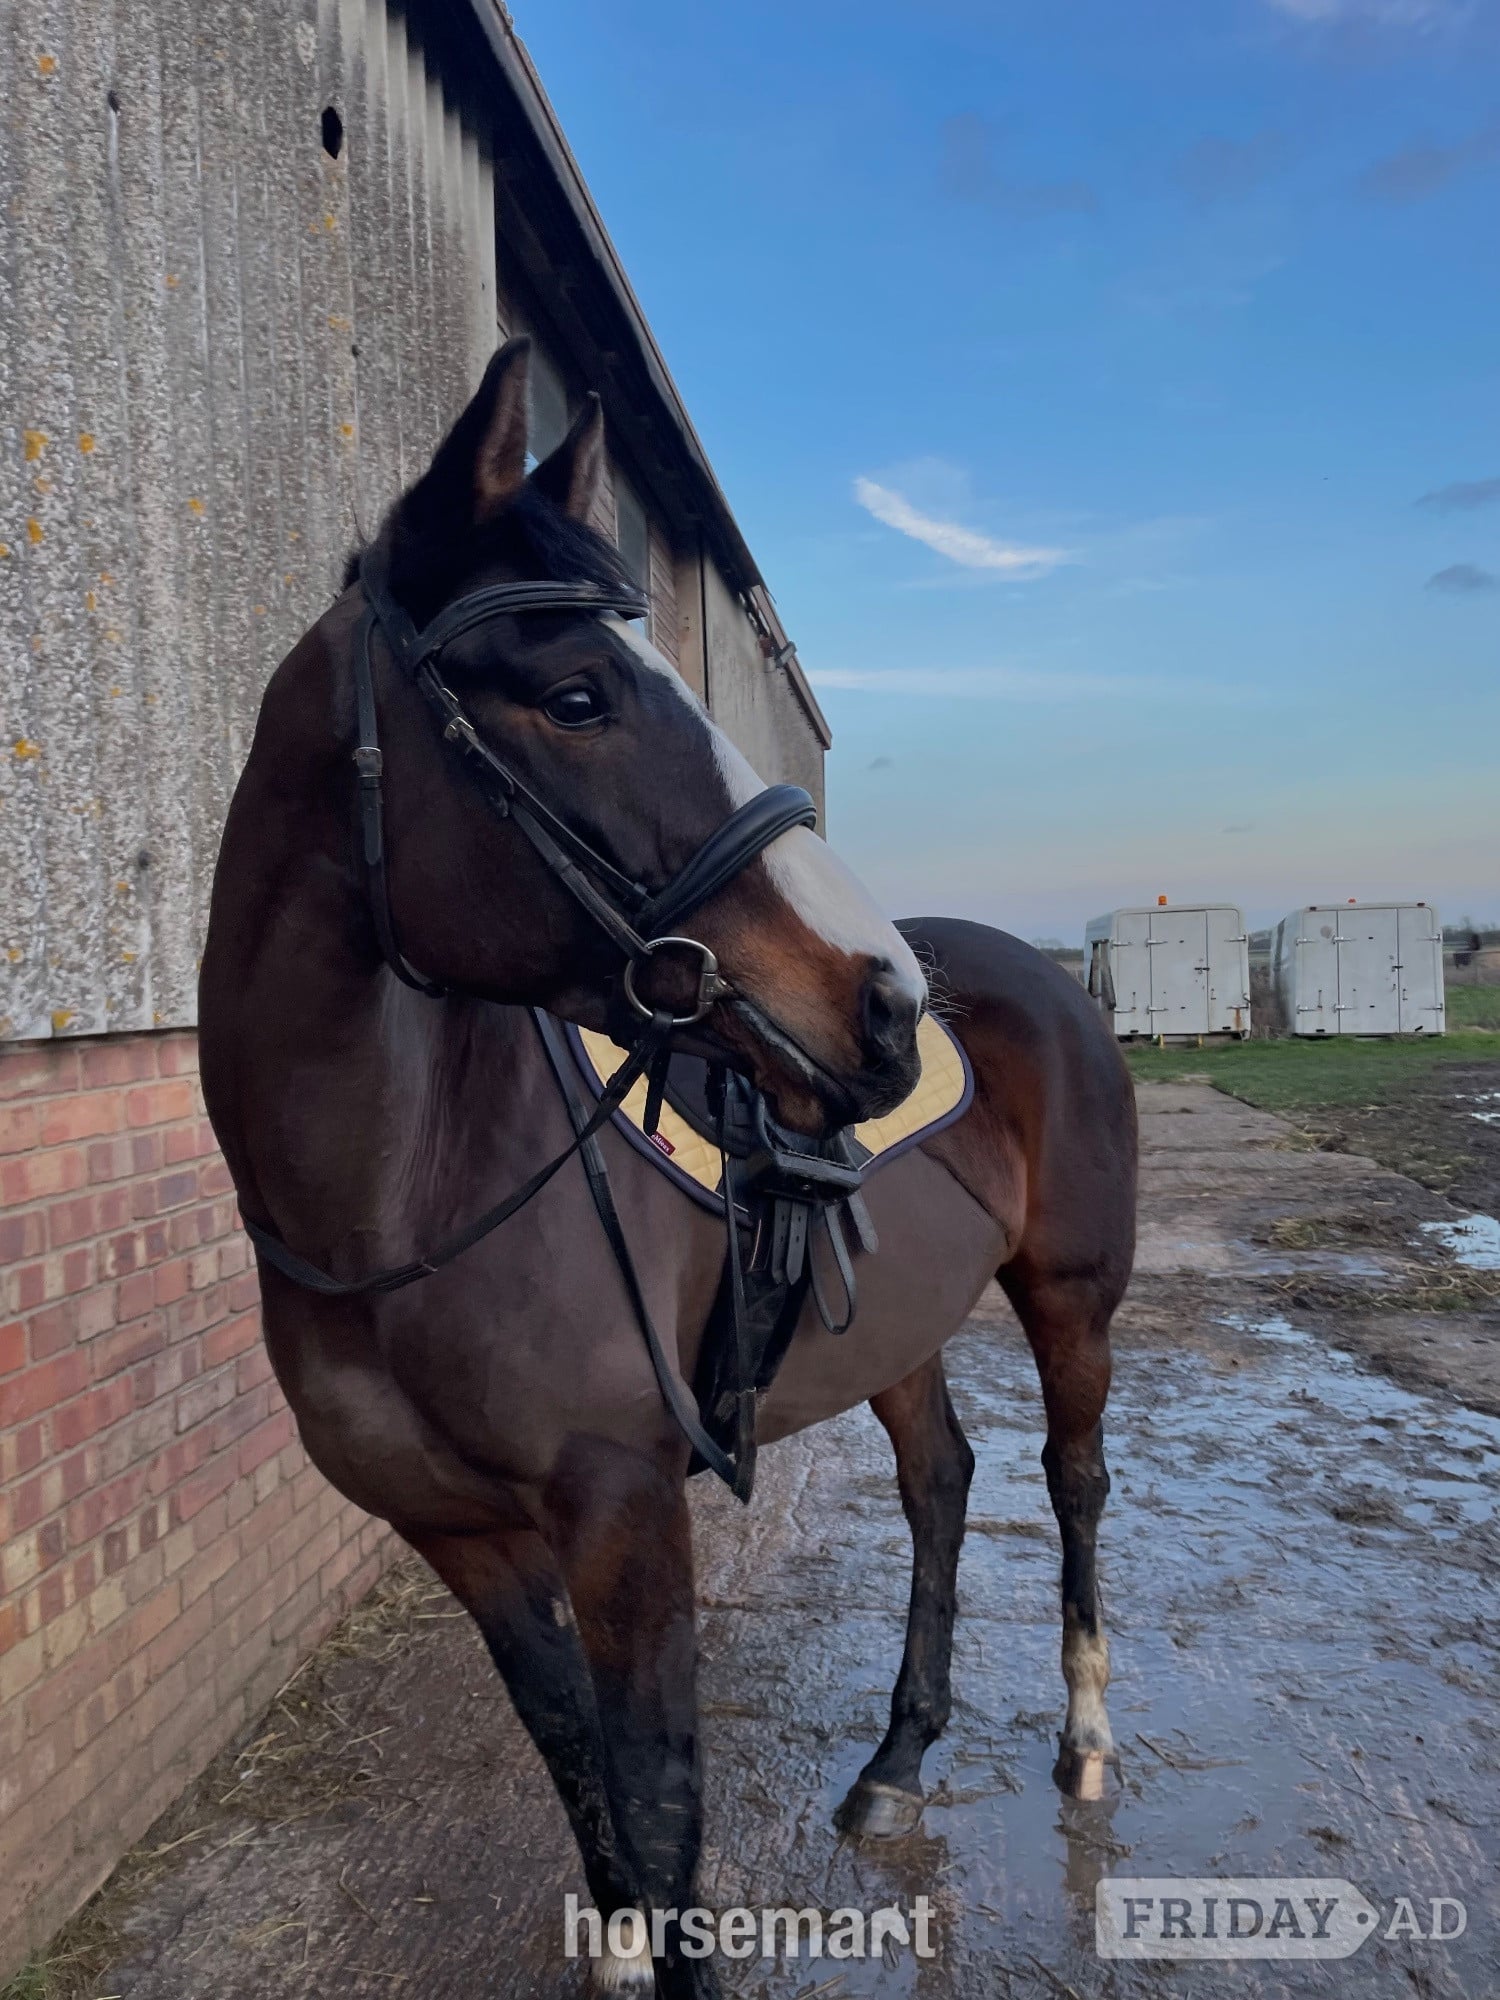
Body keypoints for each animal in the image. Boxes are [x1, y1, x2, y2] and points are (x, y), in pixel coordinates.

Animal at [199, 339, 1137, 1997]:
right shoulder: (465, 1538)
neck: (403, 1199)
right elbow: (581, 1770)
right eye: (577, 695)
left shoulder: (627, 1507)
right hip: (897, 1328)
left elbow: (663, 1799)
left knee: (1072, 1482)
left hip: (1071, 1296)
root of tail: (1041, 975)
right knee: (943, 1483)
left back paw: (1083, 1739)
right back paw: (897, 1761)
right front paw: (623, 1942)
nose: (887, 1007)